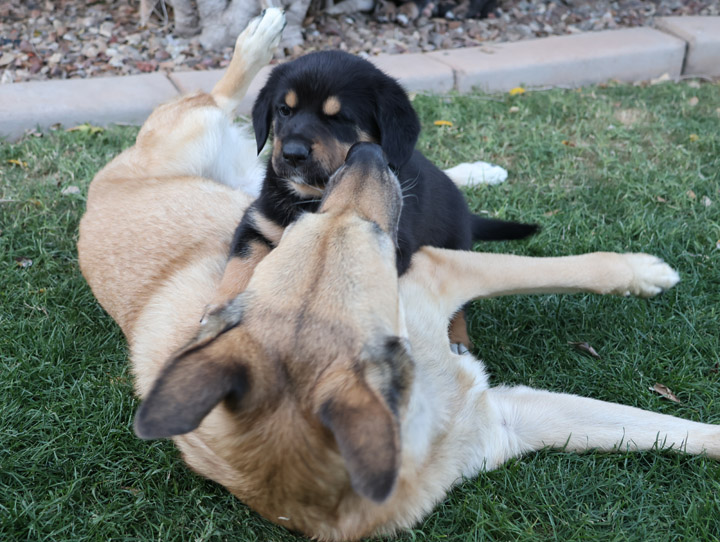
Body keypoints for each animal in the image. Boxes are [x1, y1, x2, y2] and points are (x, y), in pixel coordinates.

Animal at [211, 50, 536, 336]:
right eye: (284, 110)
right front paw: (221, 310)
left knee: (459, 311)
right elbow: (241, 264)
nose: (292, 154)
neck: (311, 195)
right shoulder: (256, 222)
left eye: (338, 118)